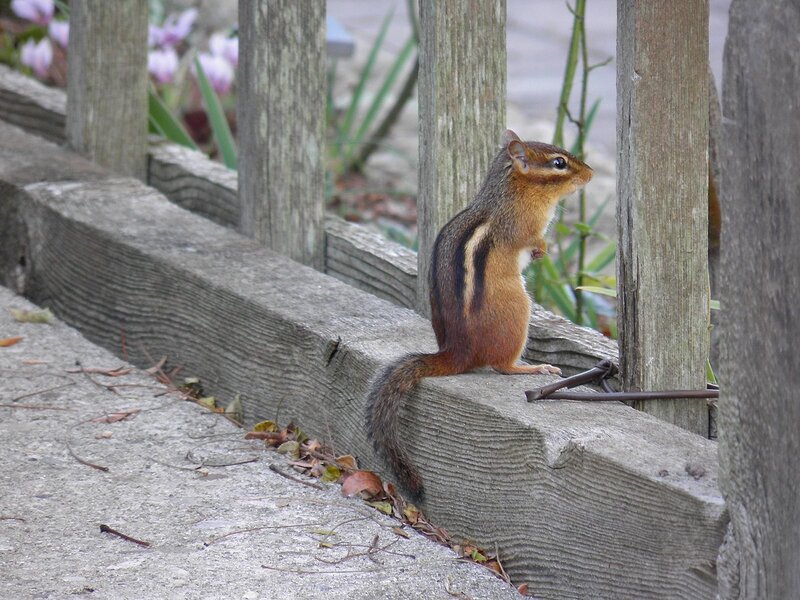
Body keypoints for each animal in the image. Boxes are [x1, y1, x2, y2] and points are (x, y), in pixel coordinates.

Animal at [365, 129, 593, 500]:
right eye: (559, 163)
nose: (589, 174)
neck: (512, 189)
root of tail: (456, 351)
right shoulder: (524, 226)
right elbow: (532, 239)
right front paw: (542, 251)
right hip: (519, 310)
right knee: (501, 366)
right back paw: (533, 368)